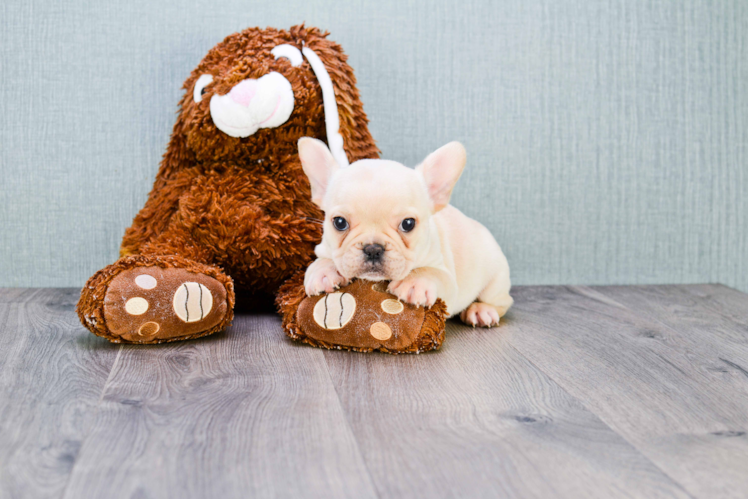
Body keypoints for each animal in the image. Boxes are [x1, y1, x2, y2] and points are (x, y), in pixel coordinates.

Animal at [298, 136, 516, 328]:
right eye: (340, 223)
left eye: (408, 224)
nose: (373, 248)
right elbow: (322, 260)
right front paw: (322, 271)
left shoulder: (447, 278)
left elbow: (432, 272)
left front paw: (415, 282)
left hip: (495, 279)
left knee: (503, 302)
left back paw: (481, 311)